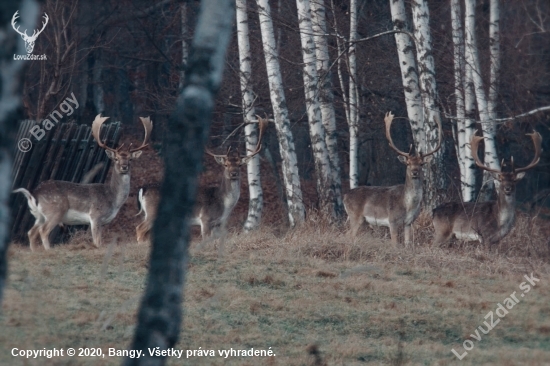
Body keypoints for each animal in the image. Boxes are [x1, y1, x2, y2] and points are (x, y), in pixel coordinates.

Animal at [15, 115, 153, 252]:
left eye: (130, 159)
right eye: (116, 159)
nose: (124, 167)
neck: (113, 199)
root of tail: (34, 194)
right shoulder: (96, 216)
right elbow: (97, 243)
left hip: (39, 216)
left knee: (31, 232)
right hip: (55, 211)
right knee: (43, 231)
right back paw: (48, 250)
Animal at [136, 117, 270, 243]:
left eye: (240, 165)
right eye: (226, 164)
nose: (233, 173)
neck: (224, 205)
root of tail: (144, 189)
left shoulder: (218, 223)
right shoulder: (205, 218)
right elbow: (205, 238)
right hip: (152, 212)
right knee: (140, 228)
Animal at [344, 111, 444, 246]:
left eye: (421, 164)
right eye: (408, 163)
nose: (414, 172)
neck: (408, 205)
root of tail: (344, 196)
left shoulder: (409, 223)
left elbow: (408, 243)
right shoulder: (392, 220)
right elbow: (395, 244)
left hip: (362, 220)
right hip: (355, 216)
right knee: (348, 235)